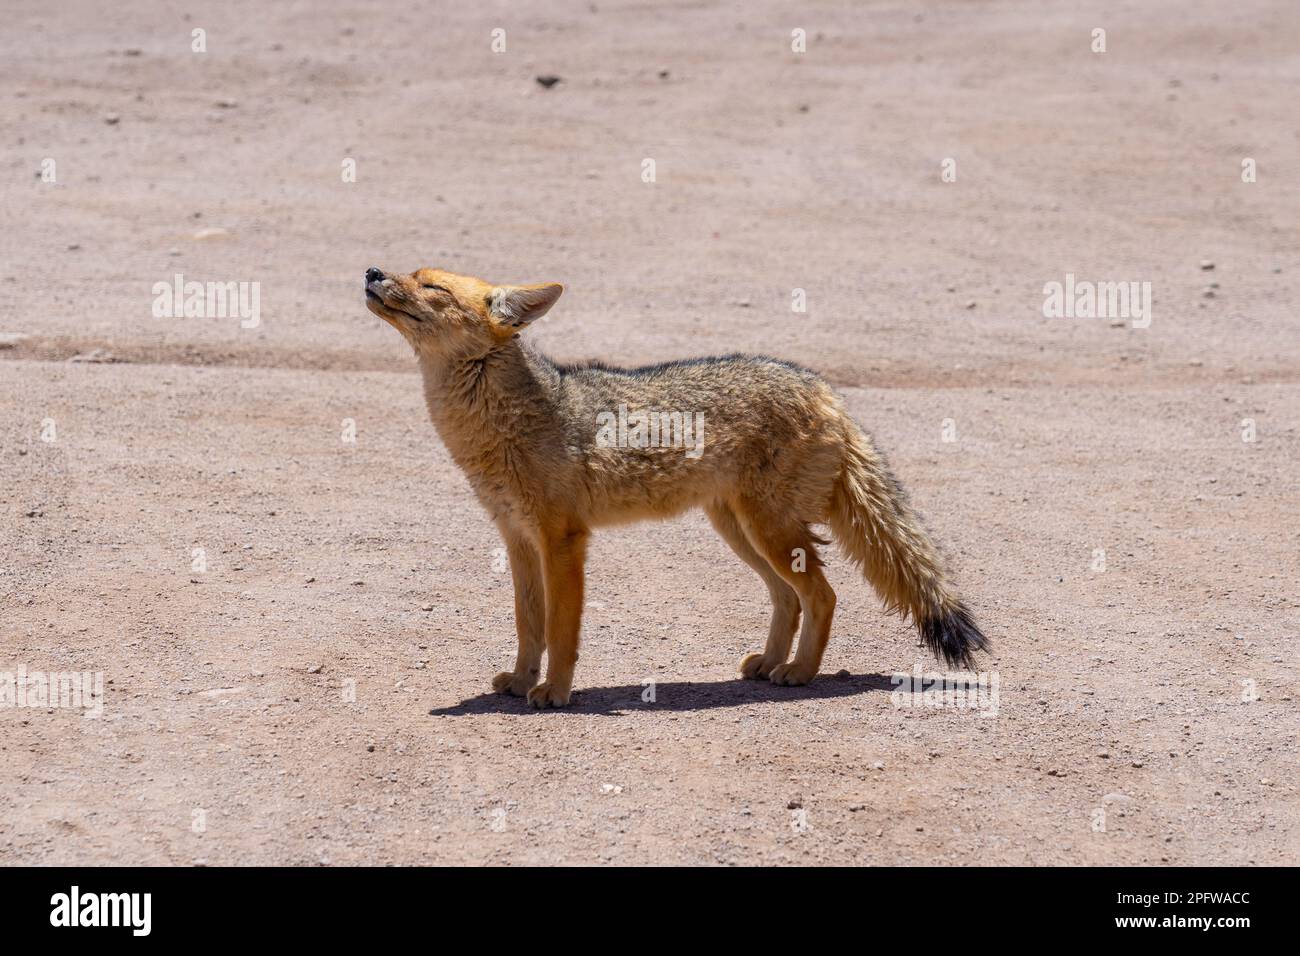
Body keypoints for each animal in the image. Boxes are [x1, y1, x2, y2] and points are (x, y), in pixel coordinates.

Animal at [364, 265, 988, 708]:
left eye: (431, 285)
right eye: (410, 272)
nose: (371, 271)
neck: (505, 422)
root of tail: (821, 386)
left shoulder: (563, 541)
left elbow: (562, 630)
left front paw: (555, 693)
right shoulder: (518, 539)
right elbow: (528, 625)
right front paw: (521, 681)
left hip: (769, 532)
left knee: (823, 595)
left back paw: (799, 673)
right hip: (741, 533)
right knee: (790, 597)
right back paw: (770, 665)